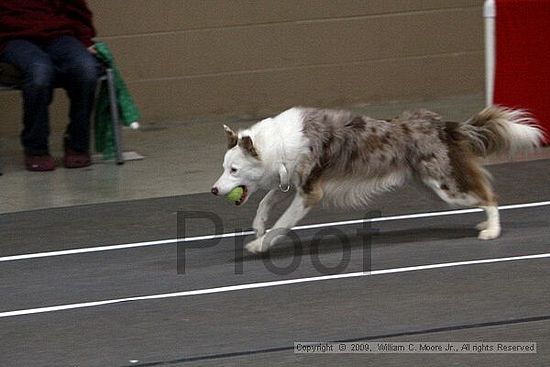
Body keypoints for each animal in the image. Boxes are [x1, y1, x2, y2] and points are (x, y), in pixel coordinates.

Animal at [211, 107, 544, 253]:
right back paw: (485, 223)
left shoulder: (310, 192)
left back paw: (492, 230)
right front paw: (257, 228)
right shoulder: (291, 180)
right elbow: (265, 203)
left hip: (444, 187)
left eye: (234, 170)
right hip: (431, 187)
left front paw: (260, 244)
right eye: (225, 167)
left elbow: (282, 223)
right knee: (480, 193)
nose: (213, 190)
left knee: (490, 196)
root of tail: (442, 124)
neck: (276, 144)